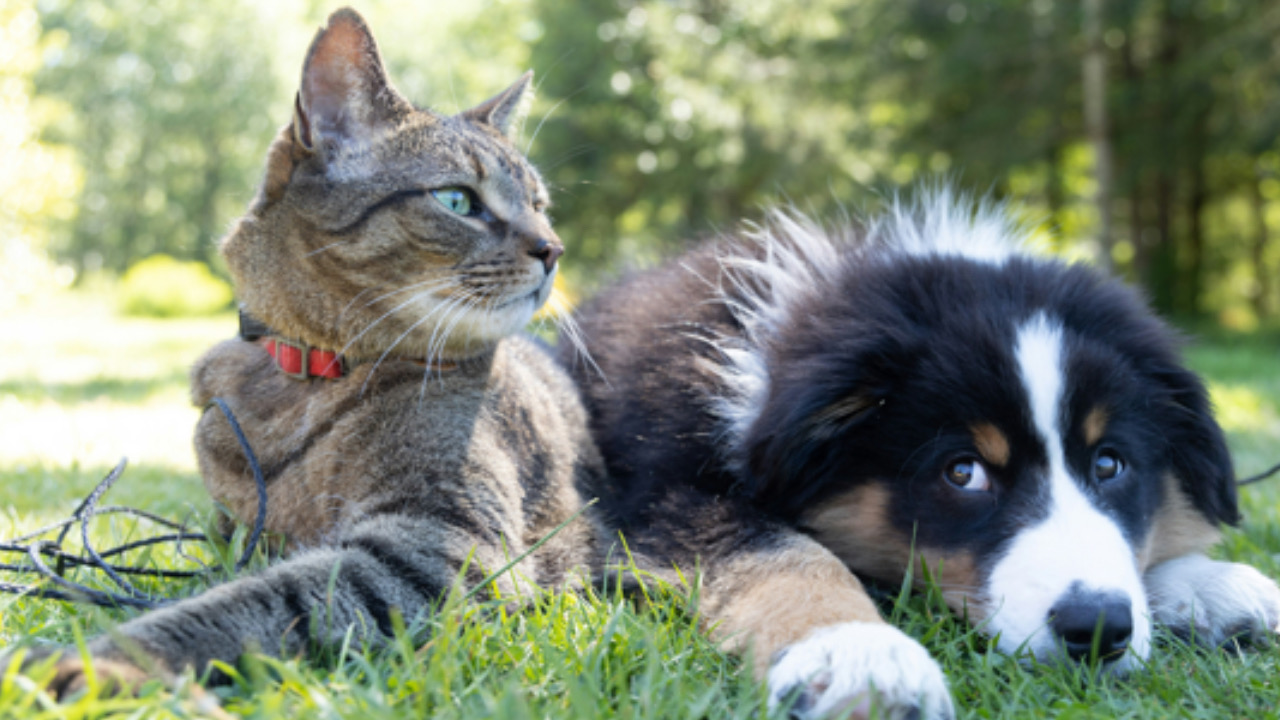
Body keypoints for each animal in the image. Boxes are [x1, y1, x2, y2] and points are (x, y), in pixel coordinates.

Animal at [6, 4, 604, 691]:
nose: (553, 248)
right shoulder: (236, 529)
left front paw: (104, 660)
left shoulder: (444, 543)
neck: (306, 377)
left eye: (539, 205)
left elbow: (256, 601)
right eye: (457, 199)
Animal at [565, 189, 1280, 717]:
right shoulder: (666, 494)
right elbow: (785, 554)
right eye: (963, 472)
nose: (1097, 627)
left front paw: (1209, 585)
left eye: (1109, 464)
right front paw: (858, 656)